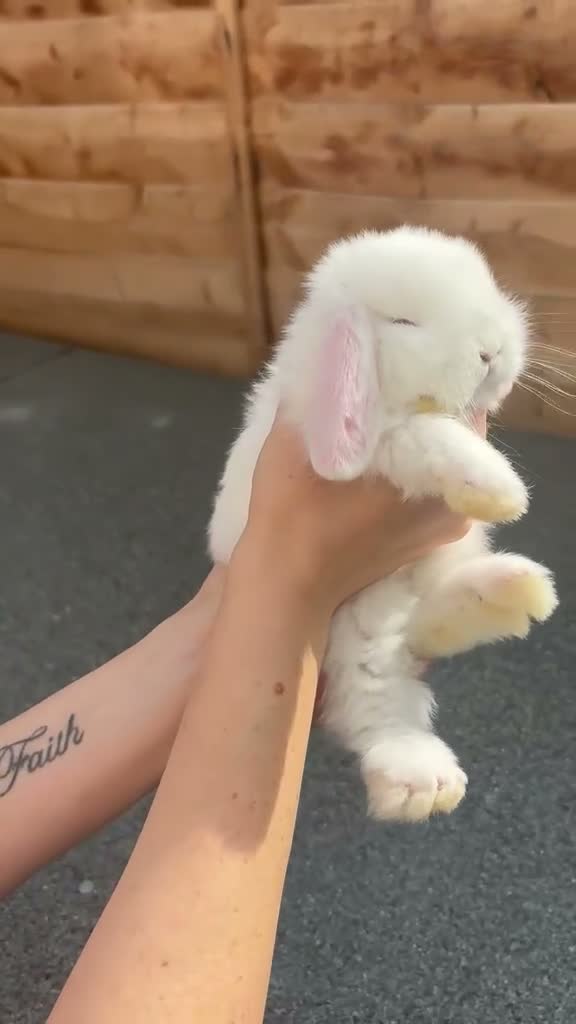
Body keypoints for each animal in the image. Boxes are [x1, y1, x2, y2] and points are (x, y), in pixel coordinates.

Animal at [209, 226, 558, 823]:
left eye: (488, 288)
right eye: (403, 323)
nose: (492, 351)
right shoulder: (376, 444)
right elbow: (424, 436)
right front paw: (501, 489)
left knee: (428, 626)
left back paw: (513, 591)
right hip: (358, 628)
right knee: (374, 701)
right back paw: (420, 779)